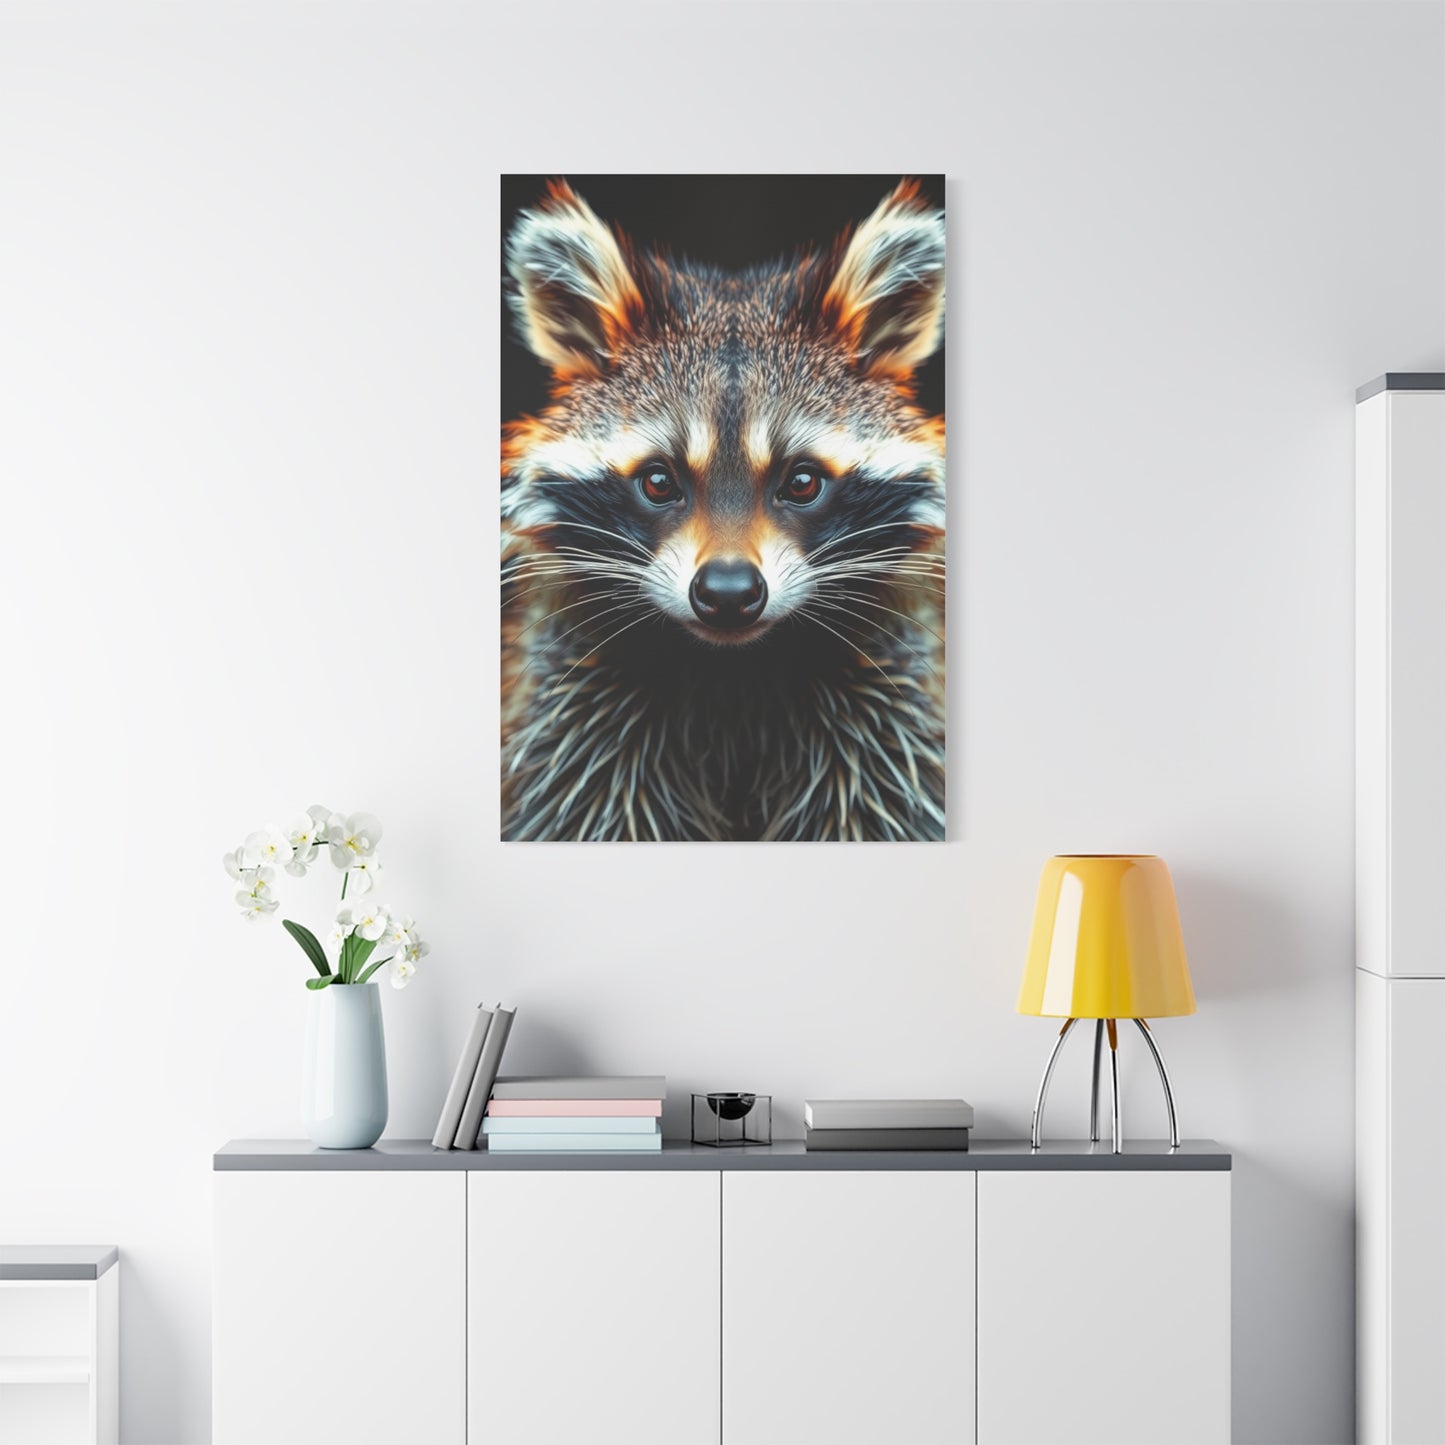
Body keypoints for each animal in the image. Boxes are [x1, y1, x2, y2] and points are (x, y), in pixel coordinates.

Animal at [501, 178, 946, 841]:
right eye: (659, 481)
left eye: (802, 482)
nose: (730, 593)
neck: (734, 678)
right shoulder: (575, 710)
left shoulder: (887, 708)